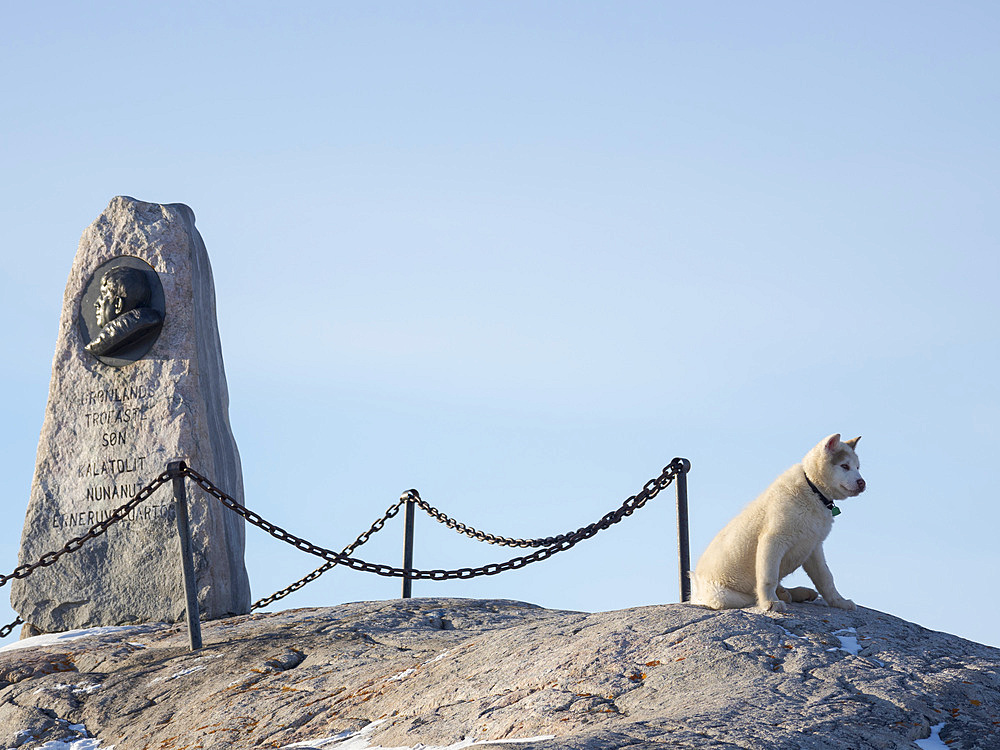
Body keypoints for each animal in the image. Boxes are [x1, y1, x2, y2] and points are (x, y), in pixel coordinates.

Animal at [692, 434, 864, 616]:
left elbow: (826, 577)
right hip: (724, 596)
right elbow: (769, 577)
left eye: (857, 467)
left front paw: (839, 601)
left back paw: (795, 592)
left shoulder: (813, 547)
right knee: (749, 596)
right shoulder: (773, 540)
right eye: (844, 466)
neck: (813, 491)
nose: (862, 483)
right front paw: (770, 602)